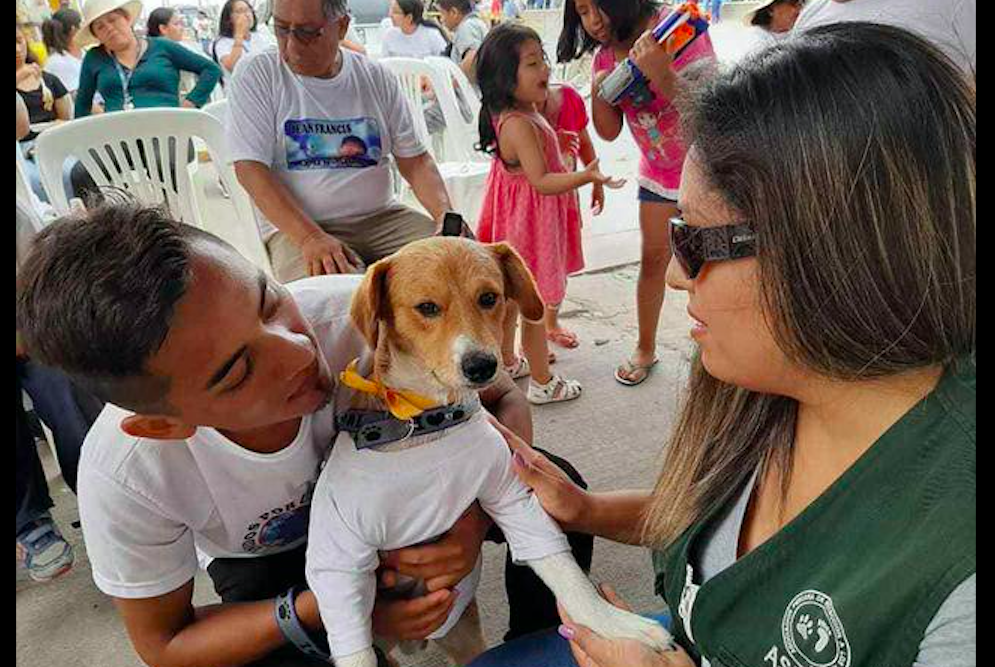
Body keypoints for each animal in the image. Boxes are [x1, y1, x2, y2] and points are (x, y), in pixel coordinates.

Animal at [308, 240, 672, 667]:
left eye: (488, 298)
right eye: (427, 307)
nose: (482, 366)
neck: (427, 423)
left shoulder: (512, 497)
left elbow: (563, 570)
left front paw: (618, 626)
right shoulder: (339, 554)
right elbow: (354, 644)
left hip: (465, 636)